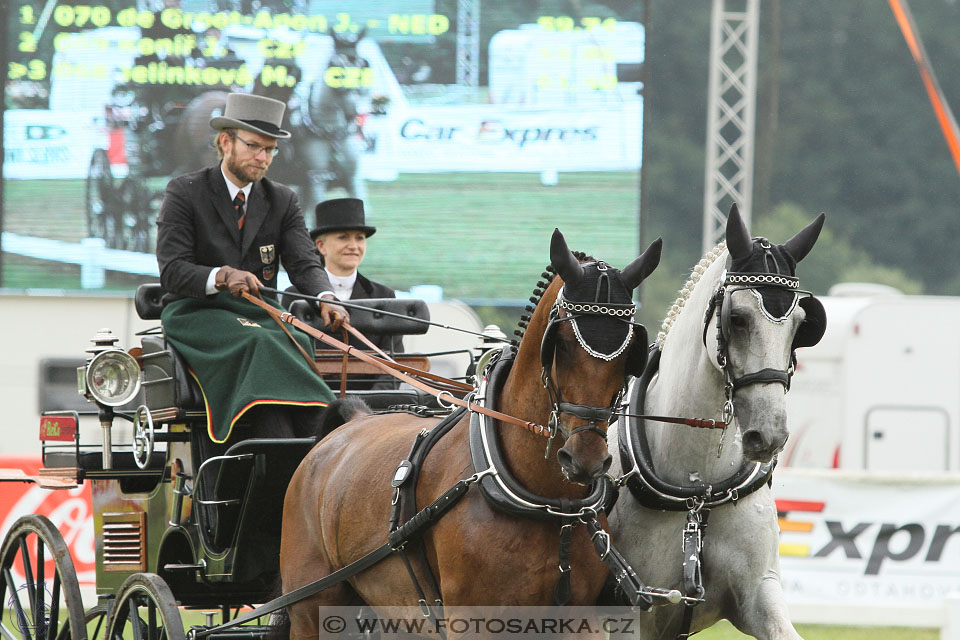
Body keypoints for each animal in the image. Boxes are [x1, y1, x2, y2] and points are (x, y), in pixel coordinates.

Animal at [278, 230, 660, 636]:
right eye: (562, 344)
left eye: (630, 355)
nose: (584, 459)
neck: (546, 502)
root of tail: (352, 420)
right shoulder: (471, 619)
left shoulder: (579, 618)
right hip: (312, 605)